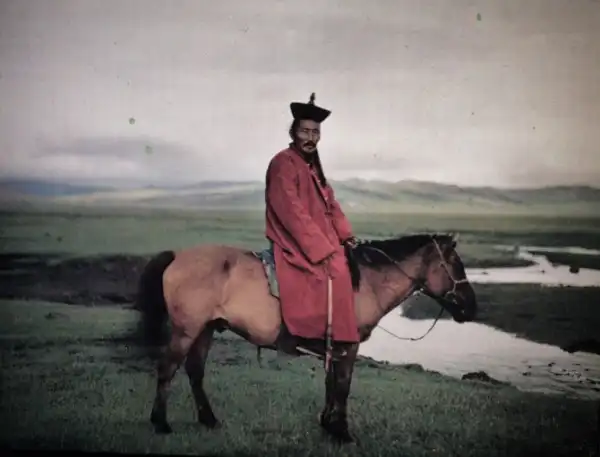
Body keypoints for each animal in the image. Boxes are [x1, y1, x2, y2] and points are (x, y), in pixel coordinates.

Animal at [133, 232, 478, 444]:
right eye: (455, 264)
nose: (471, 306)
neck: (364, 282)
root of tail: (177, 256)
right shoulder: (349, 347)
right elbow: (342, 386)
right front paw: (342, 433)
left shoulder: (334, 347)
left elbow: (331, 384)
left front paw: (327, 424)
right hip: (186, 330)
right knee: (167, 369)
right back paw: (160, 423)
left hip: (206, 329)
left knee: (195, 372)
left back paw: (208, 420)